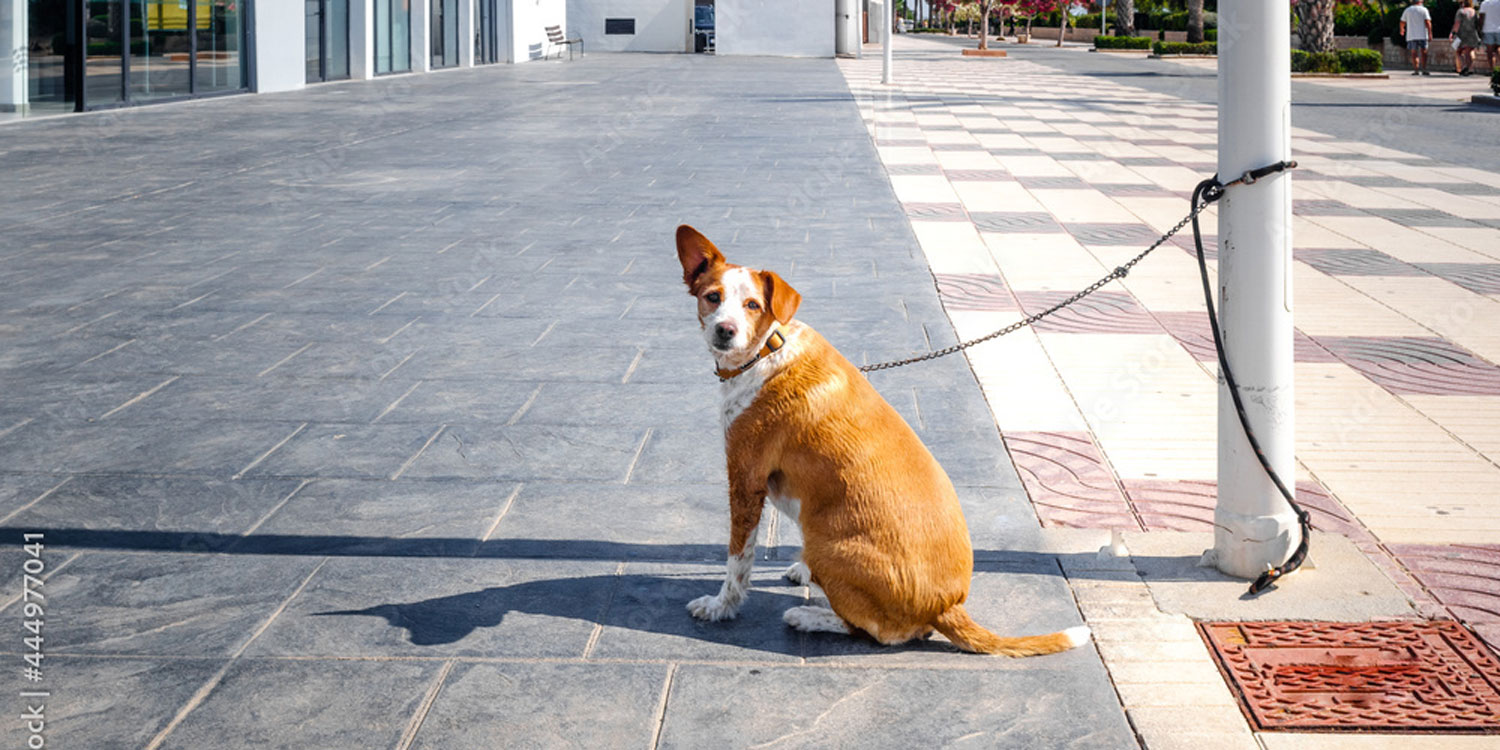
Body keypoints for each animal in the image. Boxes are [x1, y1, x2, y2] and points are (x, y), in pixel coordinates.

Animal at [681, 223, 1092, 657]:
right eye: (713, 297)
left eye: (753, 305)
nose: (725, 331)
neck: (766, 352)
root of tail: (947, 605)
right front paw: (797, 574)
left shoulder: (746, 481)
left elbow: (737, 562)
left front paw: (721, 607)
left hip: (828, 543)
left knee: (879, 632)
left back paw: (808, 616)